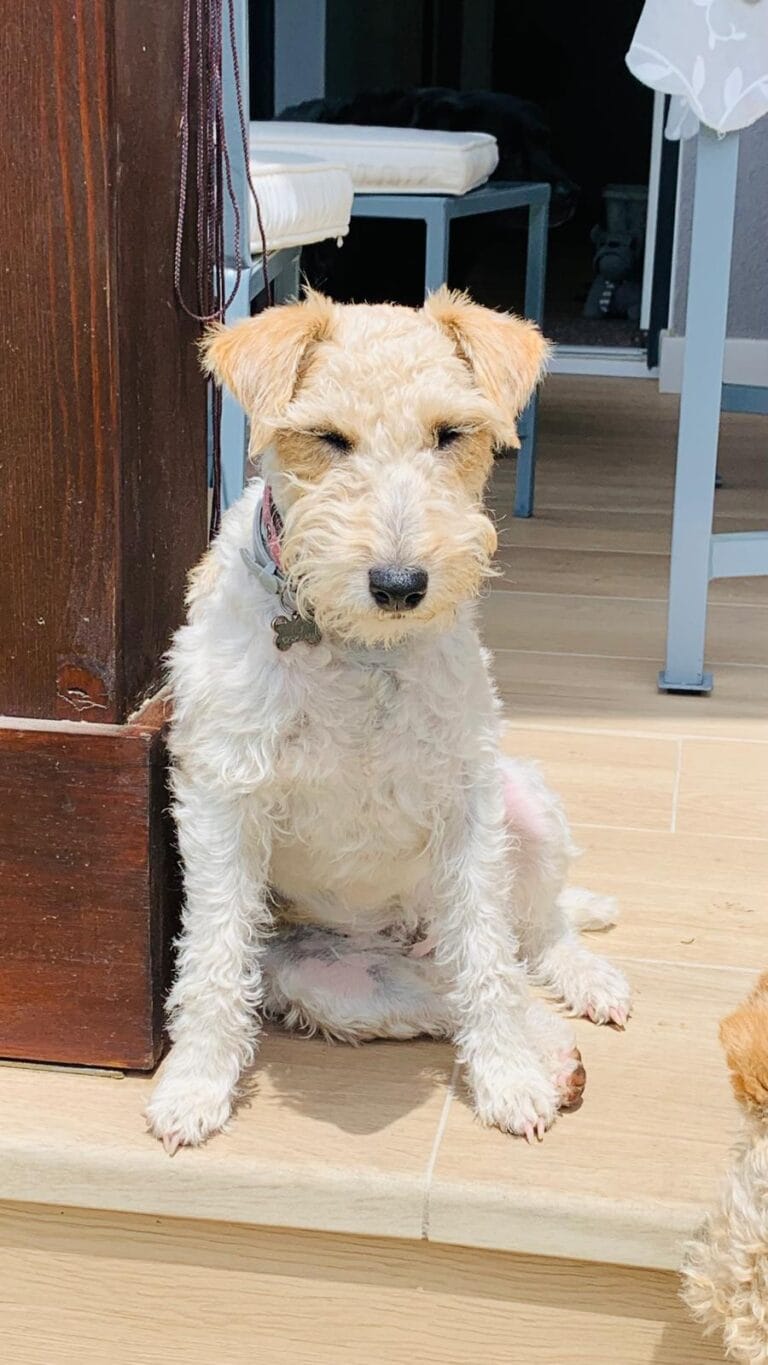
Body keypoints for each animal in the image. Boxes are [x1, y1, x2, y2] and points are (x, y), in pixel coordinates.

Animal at [145, 288, 630, 1152]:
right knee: (446, 990)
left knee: (528, 941)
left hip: (524, 808)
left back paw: (579, 995)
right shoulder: (222, 794)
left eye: (451, 433)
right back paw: (555, 1056)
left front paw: (507, 1081)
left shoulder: (467, 799)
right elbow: (212, 954)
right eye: (327, 437)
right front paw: (193, 1086)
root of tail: (408, 933)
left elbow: (489, 957)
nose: (400, 584)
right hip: (335, 982)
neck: (357, 648)